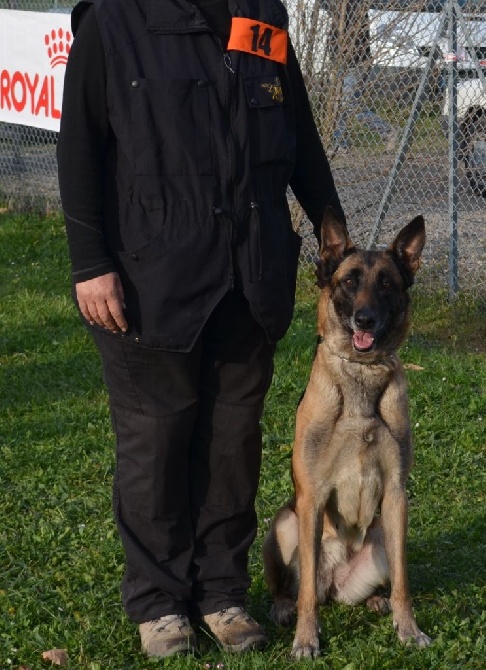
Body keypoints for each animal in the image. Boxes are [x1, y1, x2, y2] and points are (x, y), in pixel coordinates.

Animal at [264, 211, 430, 660]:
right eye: (350, 281)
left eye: (386, 284)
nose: (365, 319)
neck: (361, 373)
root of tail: (335, 581)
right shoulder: (312, 496)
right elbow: (305, 594)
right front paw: (306, 639)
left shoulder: (397, 494)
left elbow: (405, 583)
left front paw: (408, 628)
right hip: (285, 521)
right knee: (298, 588)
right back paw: (284, 608)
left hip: (382, 539)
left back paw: (376, 601)